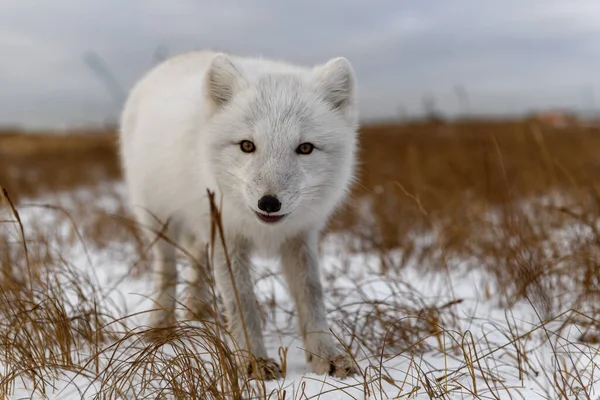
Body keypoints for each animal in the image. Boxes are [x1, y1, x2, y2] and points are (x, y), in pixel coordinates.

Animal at [119, 51, 358, 380]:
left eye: (305, 148)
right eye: (247, 145)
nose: (269, 203)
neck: (265, 231)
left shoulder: (299, 237)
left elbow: (312, 296)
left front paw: (326, 356)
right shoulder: (228, 238)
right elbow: (242, 301)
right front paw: (254, 361)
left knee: (195, 258)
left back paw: (197, 310)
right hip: (159, 221)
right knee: (167, 271)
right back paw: (160, 324)